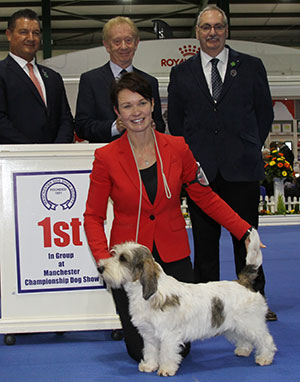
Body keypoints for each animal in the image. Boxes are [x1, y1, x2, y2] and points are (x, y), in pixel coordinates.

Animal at [98, 228, 276, 378]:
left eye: (123, 259)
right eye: (114, 254)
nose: (100, 268)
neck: (147, 292)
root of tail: (243, 282)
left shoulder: (168, 335)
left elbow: (167, 353)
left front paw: (166, 369)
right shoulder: (149, 335)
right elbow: (150, 351)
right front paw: (149, 366)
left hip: (251, 323)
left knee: (265, 339)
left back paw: (265, 357)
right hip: (234, 325)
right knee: (245, 338)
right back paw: (243, 350)